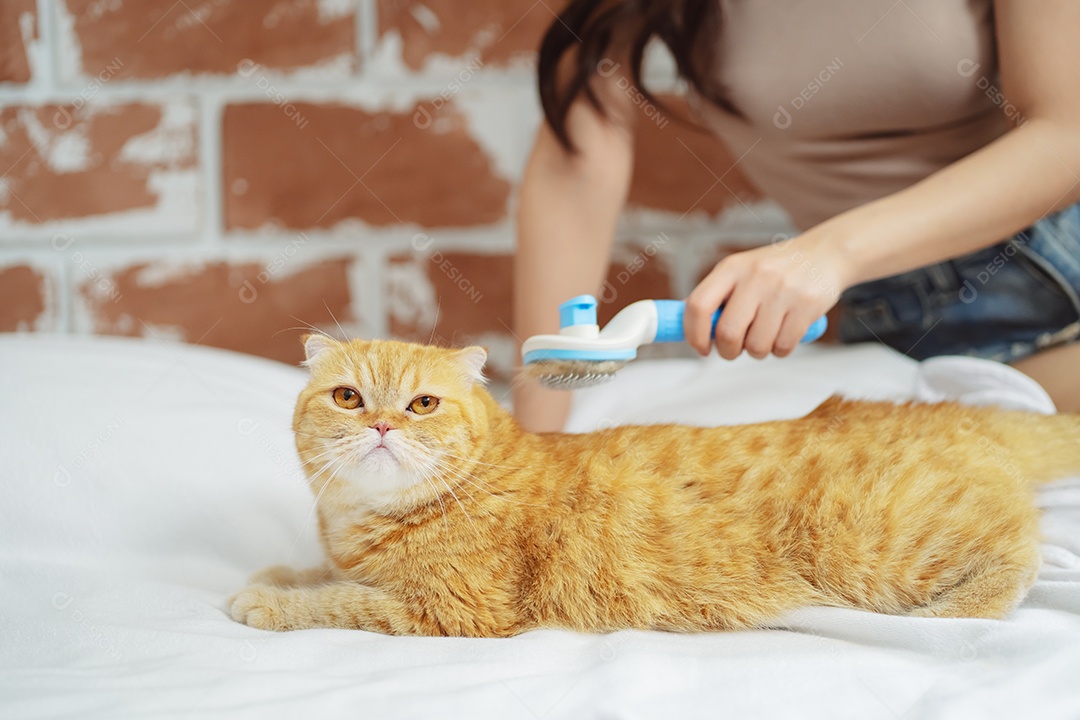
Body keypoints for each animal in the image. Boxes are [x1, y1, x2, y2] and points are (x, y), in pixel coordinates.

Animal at [230, 338, 1080, 634]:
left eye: (423, 405)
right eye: (348, 397)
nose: (381, 425)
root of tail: (939, 410)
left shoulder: (452, 612)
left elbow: (341, 602)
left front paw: (265, 601)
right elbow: (323, 575)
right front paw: (275, 573)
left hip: (878, 548)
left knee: (1022, 551)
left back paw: (955, 615)